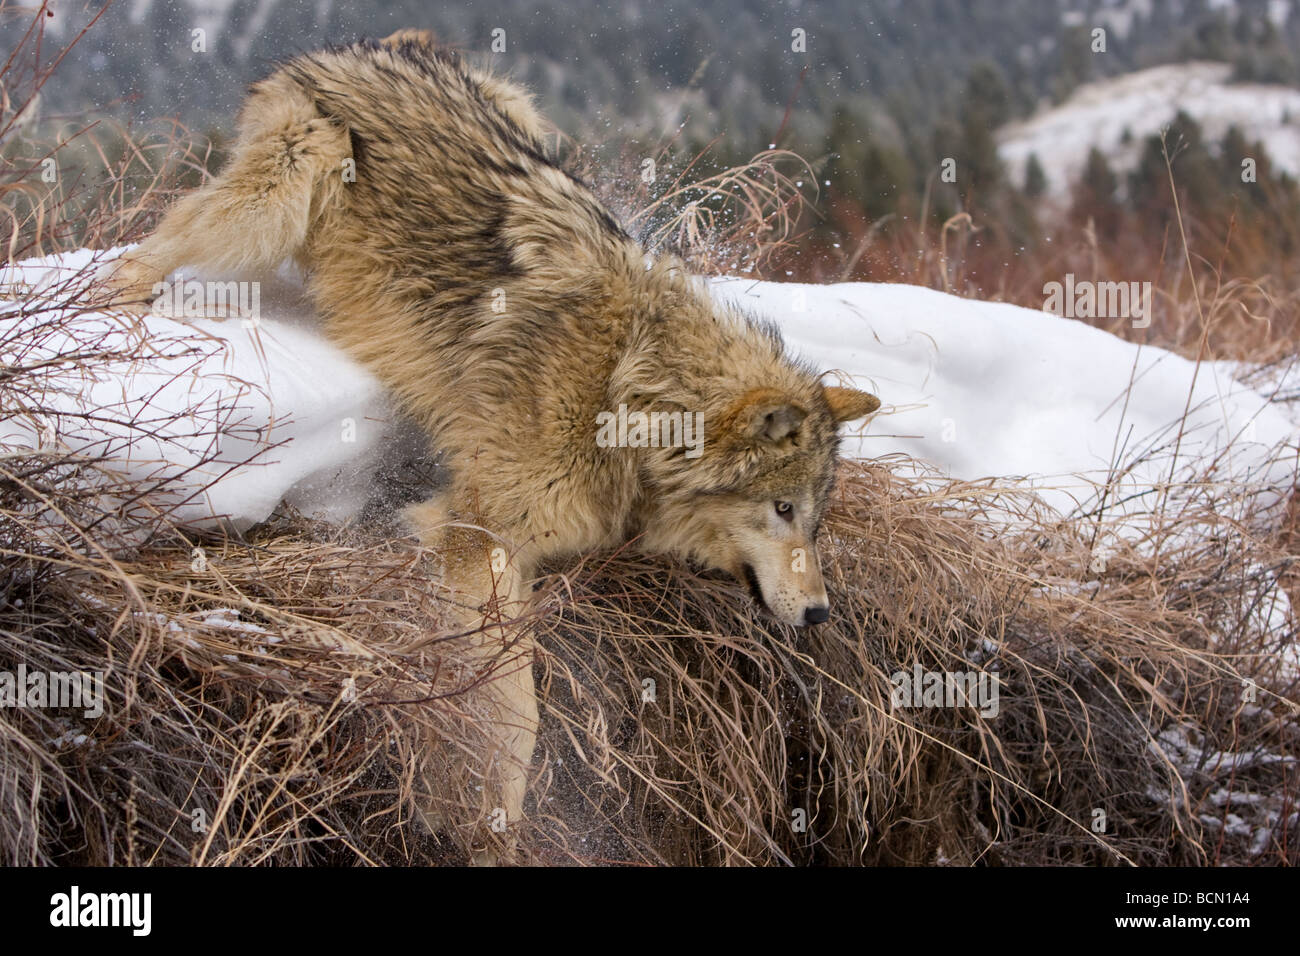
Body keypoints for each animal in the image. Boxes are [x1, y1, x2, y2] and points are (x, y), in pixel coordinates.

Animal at [105, 30, 881, 860]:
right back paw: (103, 311)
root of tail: (376, 45)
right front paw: (491, 824)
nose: (821, 616)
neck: (623, 391)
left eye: (812, 518)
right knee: (151, 247)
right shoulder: (480, 542)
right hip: (276, 203)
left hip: (517, 116)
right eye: (782, 508)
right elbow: (515, 719)